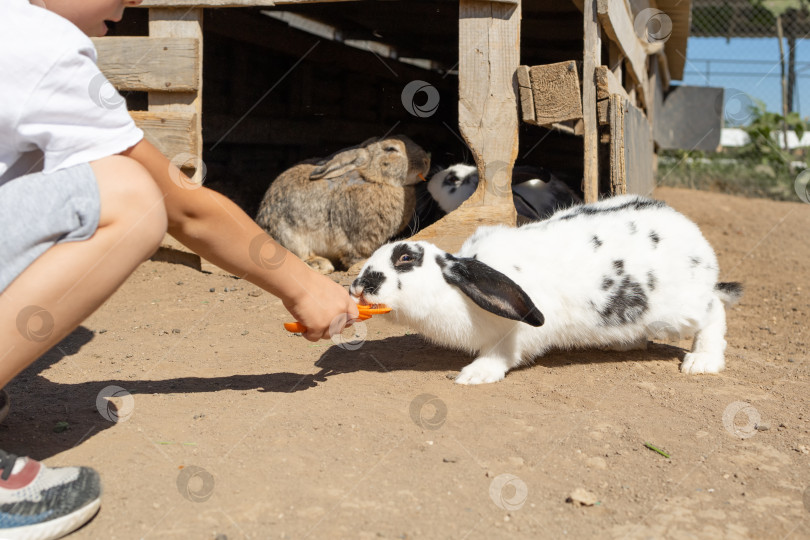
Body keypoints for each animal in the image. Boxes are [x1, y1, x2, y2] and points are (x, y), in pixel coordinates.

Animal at [256, 135, 430, 274]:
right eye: (390, 149)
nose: (426, 160)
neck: (374, 179)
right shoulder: (356, 240)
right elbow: (354, 255)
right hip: (289, 234)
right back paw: (319, 264)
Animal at [350, 194, 740, 384]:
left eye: (405, 258)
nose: (358, 285)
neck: (456, 292)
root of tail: (697, 241)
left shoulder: (517, 334)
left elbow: (501, 354)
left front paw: (474, 375)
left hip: (678, 311)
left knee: (714, 311)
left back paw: (701, 363)